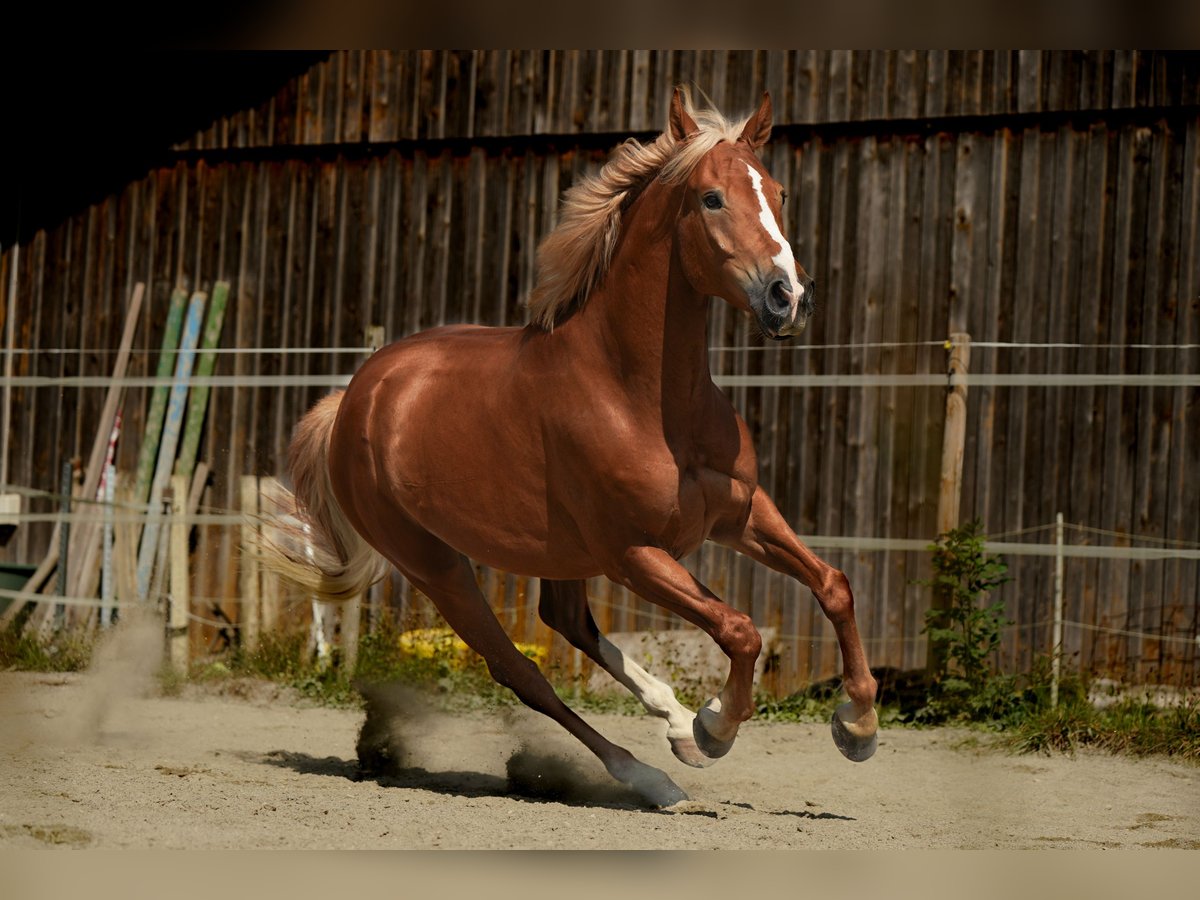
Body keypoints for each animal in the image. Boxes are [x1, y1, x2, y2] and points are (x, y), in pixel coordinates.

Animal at [267, 88, 878, 806]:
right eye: (711, 198)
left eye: (778, 192)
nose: (789, 298)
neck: (640, 397)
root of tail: (356, 396)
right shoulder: (633, 553)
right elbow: (740, 629)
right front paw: (715, 727)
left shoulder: (739, 514)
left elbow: (833, 585)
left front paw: (857, 725)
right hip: (436, 564)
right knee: (520, 670)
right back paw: (652, 774)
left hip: (557, 553)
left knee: (567, 621)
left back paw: (672, 722)